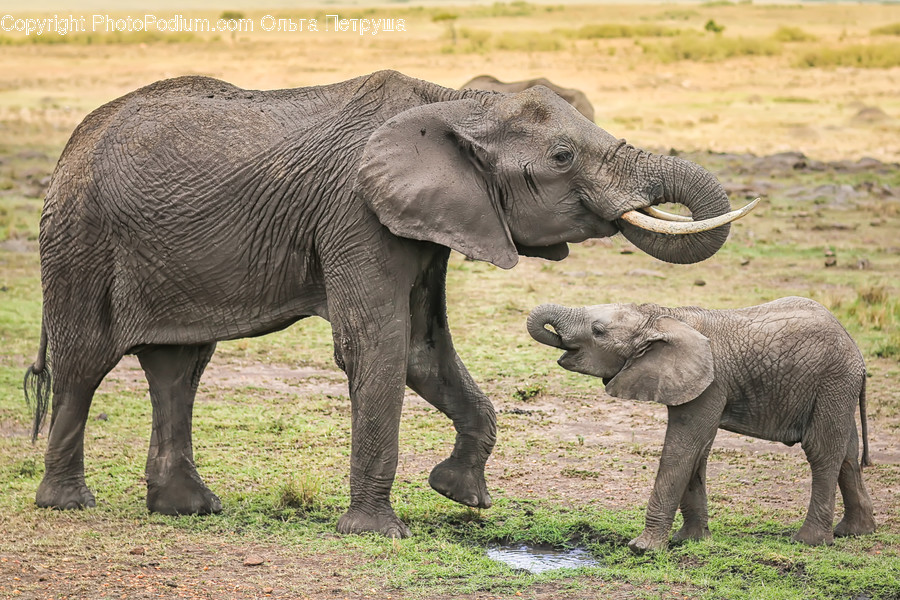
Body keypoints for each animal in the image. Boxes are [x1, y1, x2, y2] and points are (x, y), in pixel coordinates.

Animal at [528, 297, 875, 551]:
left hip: (832, 381)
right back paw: (855, 533)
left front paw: (642, 548)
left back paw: (809, 542)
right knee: (847, 453)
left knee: (822, 451)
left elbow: (683, 447)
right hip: (836, 387)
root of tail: (856, 350)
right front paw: (690, 540)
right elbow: (699, 450)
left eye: (598, 331)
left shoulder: (712, 383)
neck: (662, 315)